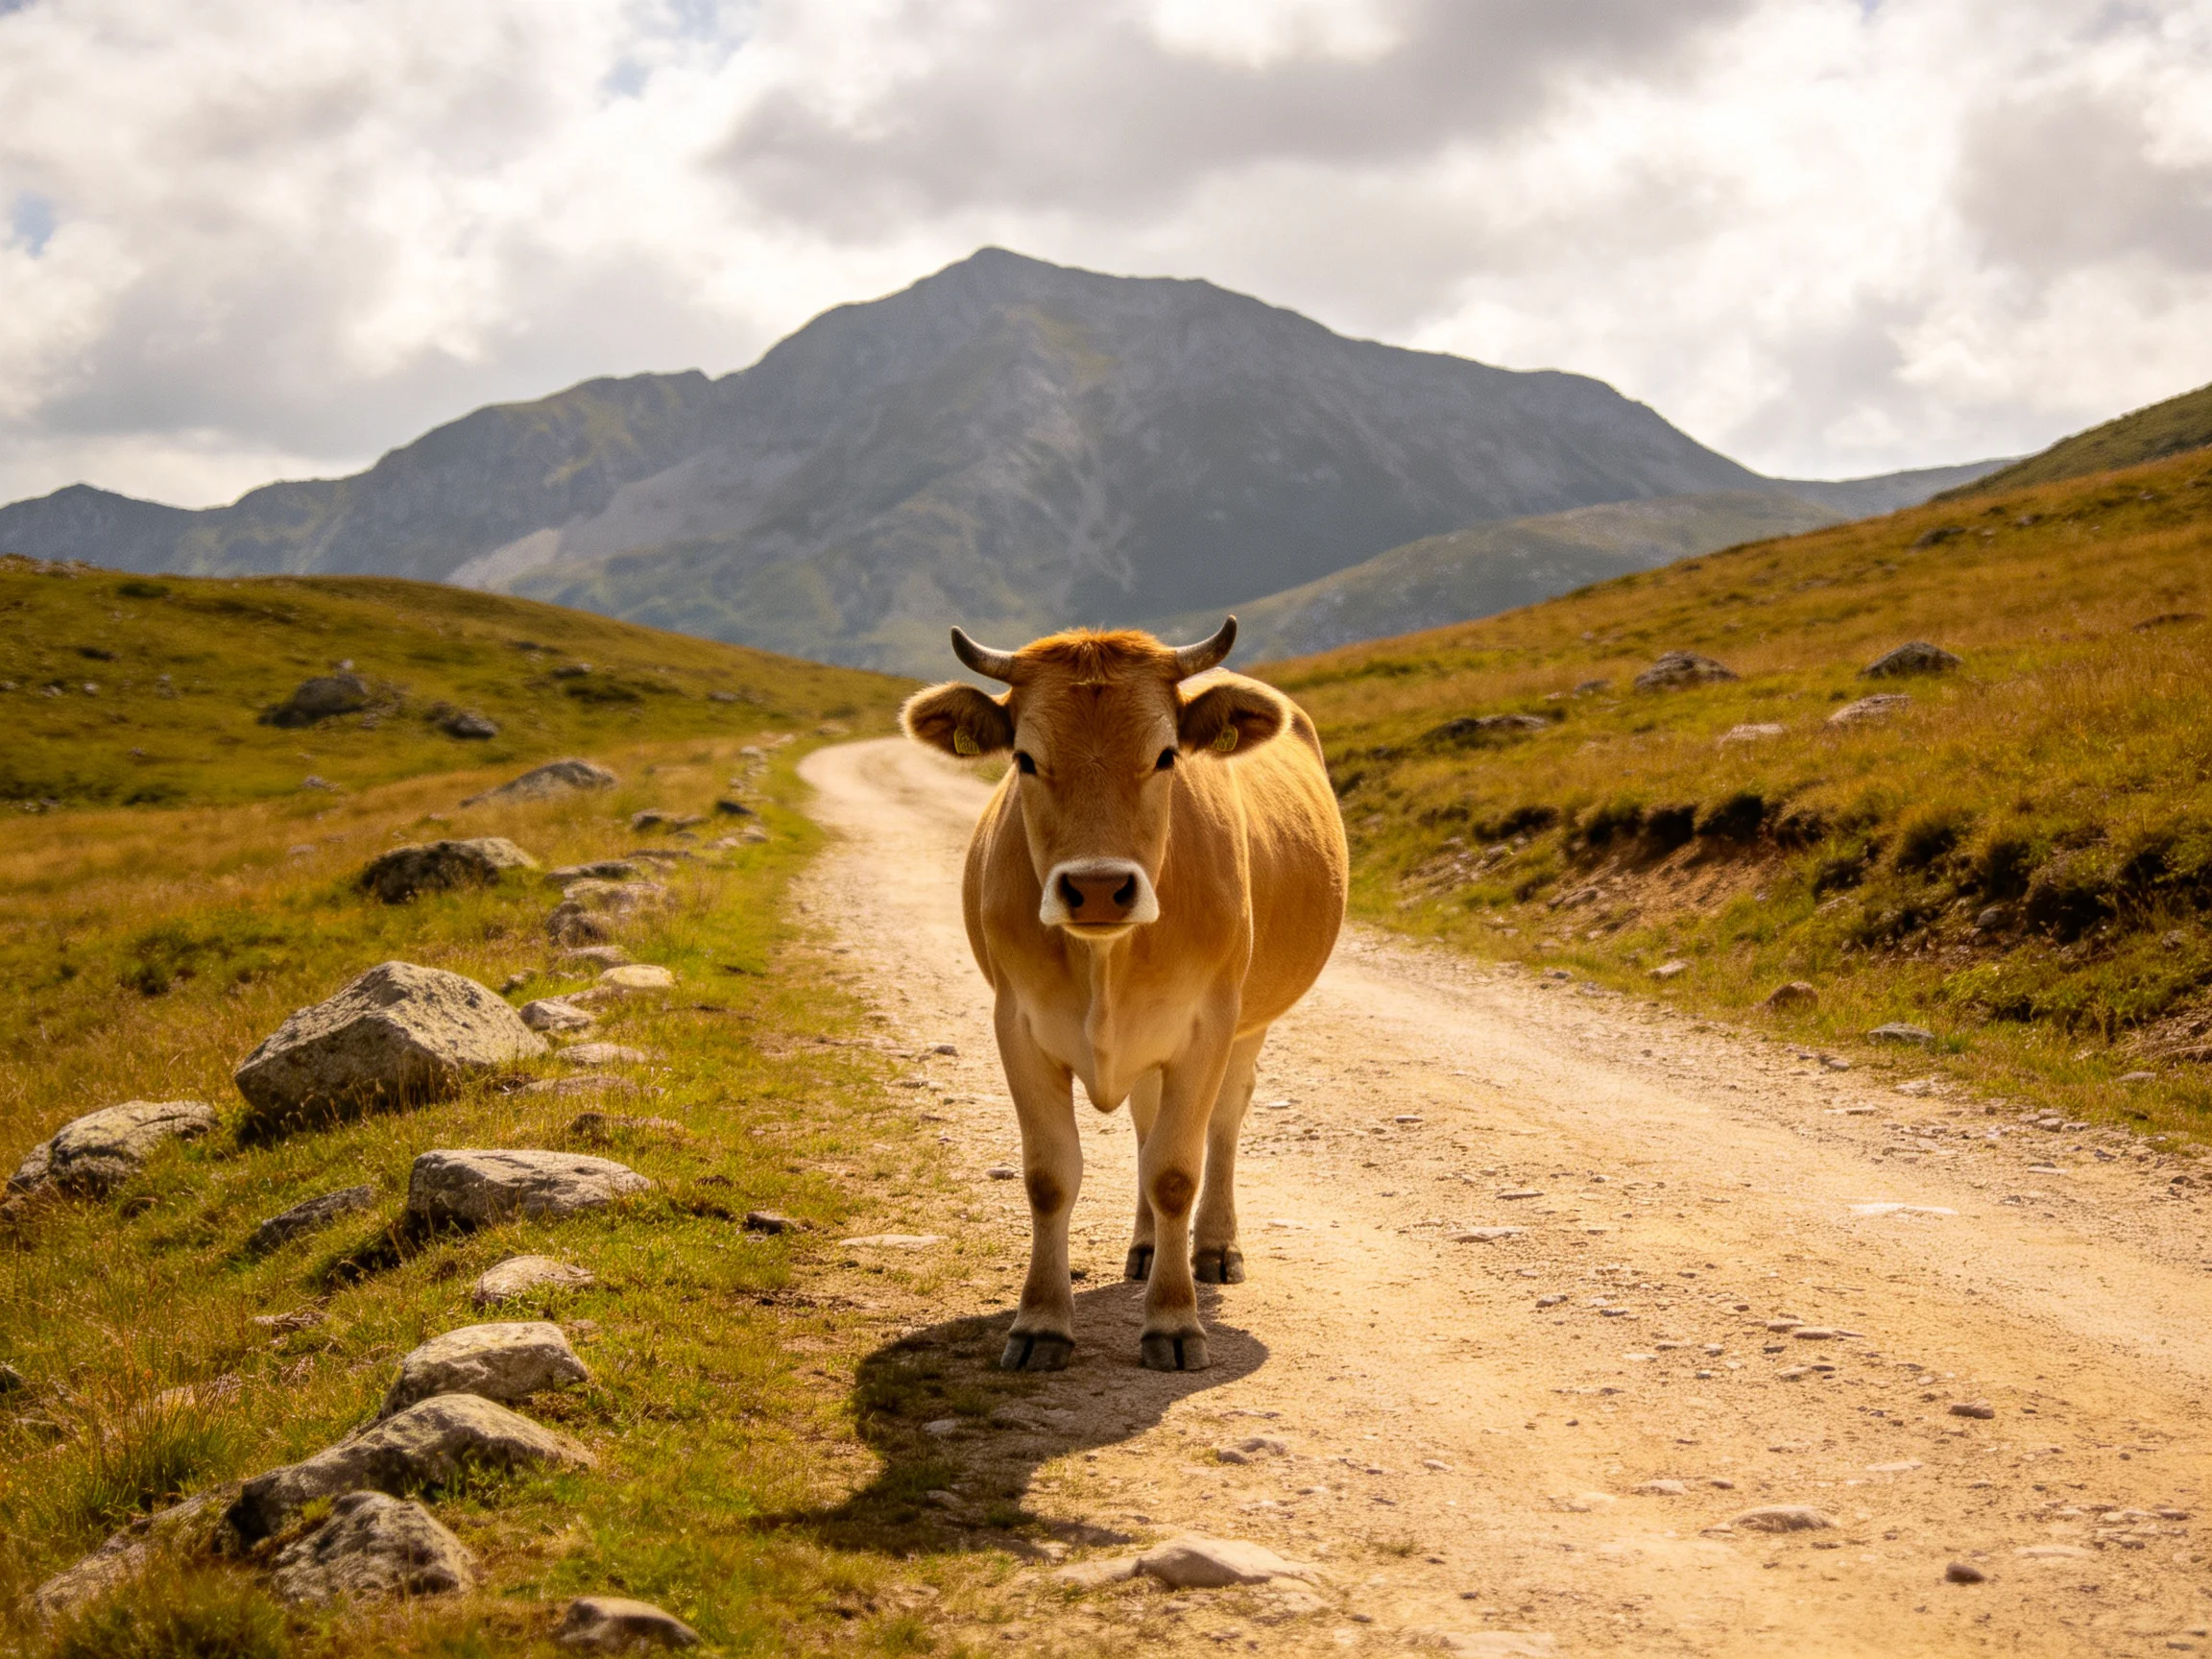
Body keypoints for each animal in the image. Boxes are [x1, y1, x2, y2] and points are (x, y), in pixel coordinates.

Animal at [900, 617, 1348, 1371]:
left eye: (1166, 756)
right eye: (1024, 759)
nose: (1100, 887)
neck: (1105, 960)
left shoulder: (1206, 1026)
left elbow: (1175, 1171)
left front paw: (1173, 1321)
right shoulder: (1018, 1026)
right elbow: (1051, 1176)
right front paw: (1040, 1323)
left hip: (1249, 1021)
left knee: (1225, 1120)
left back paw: (1215, 1246)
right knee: (1144, 1120)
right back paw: (1143, 1247)